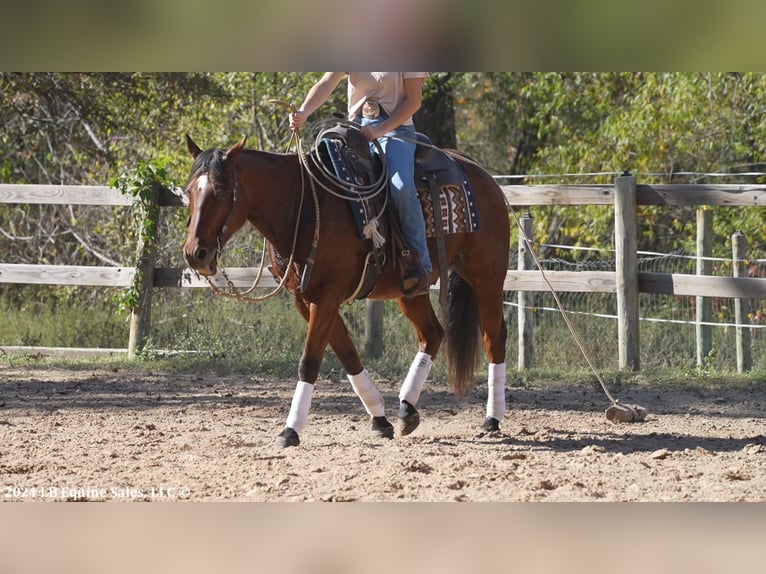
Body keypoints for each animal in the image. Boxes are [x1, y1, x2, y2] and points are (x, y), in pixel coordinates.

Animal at [184, 132, 512, 450]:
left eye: (221, 190)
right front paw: (380, 420)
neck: (303, 205)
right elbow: (348, 355)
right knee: (432, 333)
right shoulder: (305, 299)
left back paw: (492, 419)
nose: (195, 254)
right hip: (410, 290)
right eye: (189, 192)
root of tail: (479, 173)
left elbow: (309, 361)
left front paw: (290, 430)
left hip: (486, 277)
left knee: (493, 337)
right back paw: (407, 409)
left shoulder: (327, 296)